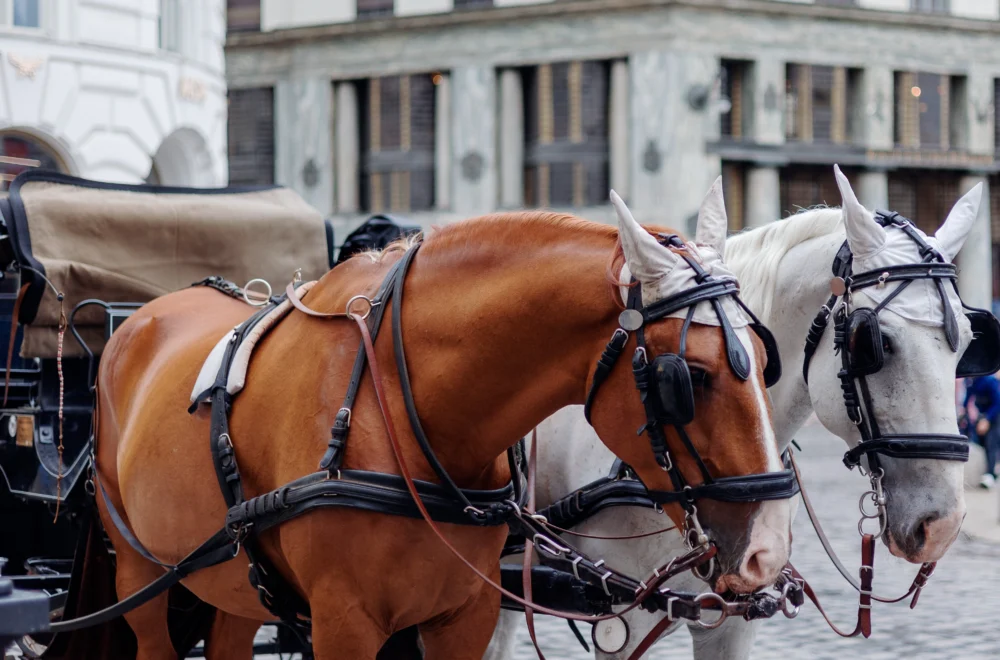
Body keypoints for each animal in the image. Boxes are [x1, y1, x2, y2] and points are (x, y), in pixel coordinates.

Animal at [90, 183, 793, 659]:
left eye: (766, 363)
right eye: (689, 378)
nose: (767, 554)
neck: (401, 410)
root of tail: (146, 311)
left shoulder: (467, 613)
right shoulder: (343, 623)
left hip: (231, 581)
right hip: (139, 571)